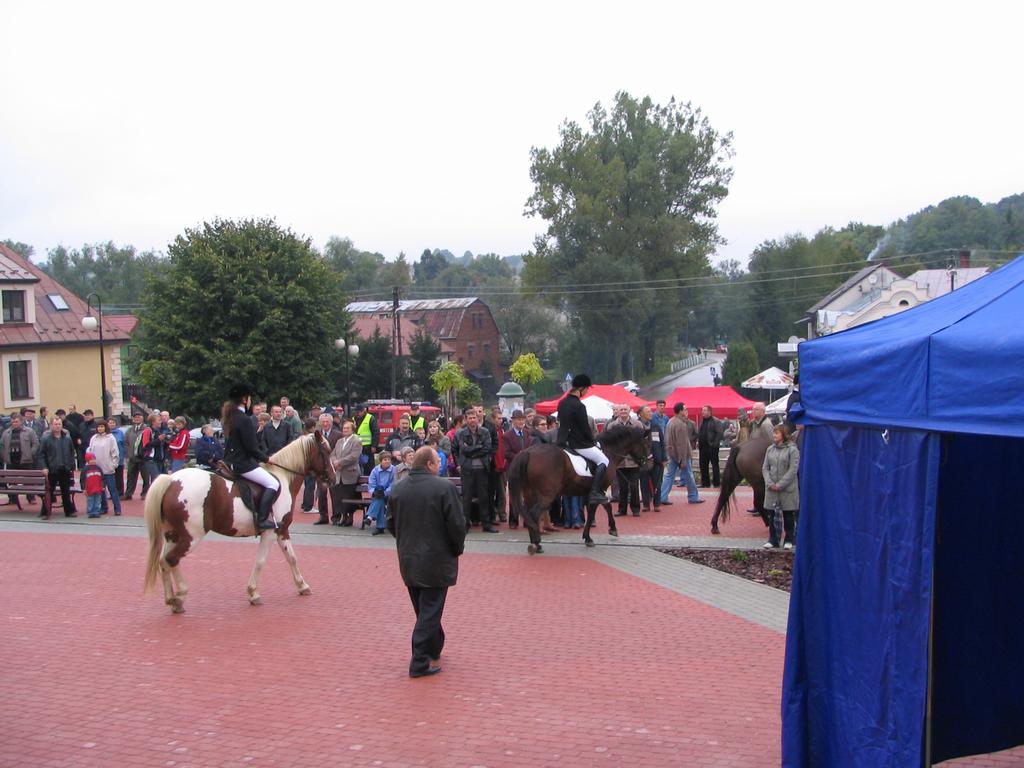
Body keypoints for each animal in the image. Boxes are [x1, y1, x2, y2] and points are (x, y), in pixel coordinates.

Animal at [143, 433, 334, 613]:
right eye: (326, 451)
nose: (332, 477)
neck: (283, 478)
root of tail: (171, 481)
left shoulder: (282, 530)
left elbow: (292, 558)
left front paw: (302, 586)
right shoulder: (271, 533)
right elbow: (260, 561)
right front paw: (253, 593)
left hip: (173, 535)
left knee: (163, 562)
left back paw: (171, 599)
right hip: (191, 536)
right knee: (171, 559)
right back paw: (180, 596)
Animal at [506, 425, 653, 555]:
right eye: (647, 445)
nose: (649, 466)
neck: (608, 451)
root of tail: (528, 452)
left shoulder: (591, 492)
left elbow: (598, 508)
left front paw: (591, 536)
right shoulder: (600, 490)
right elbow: (602, 507)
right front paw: (606, 531)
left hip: (529, 493)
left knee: (528, 514)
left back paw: (535, 544)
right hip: (546, 495)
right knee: (534, 514)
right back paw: (536, 544)